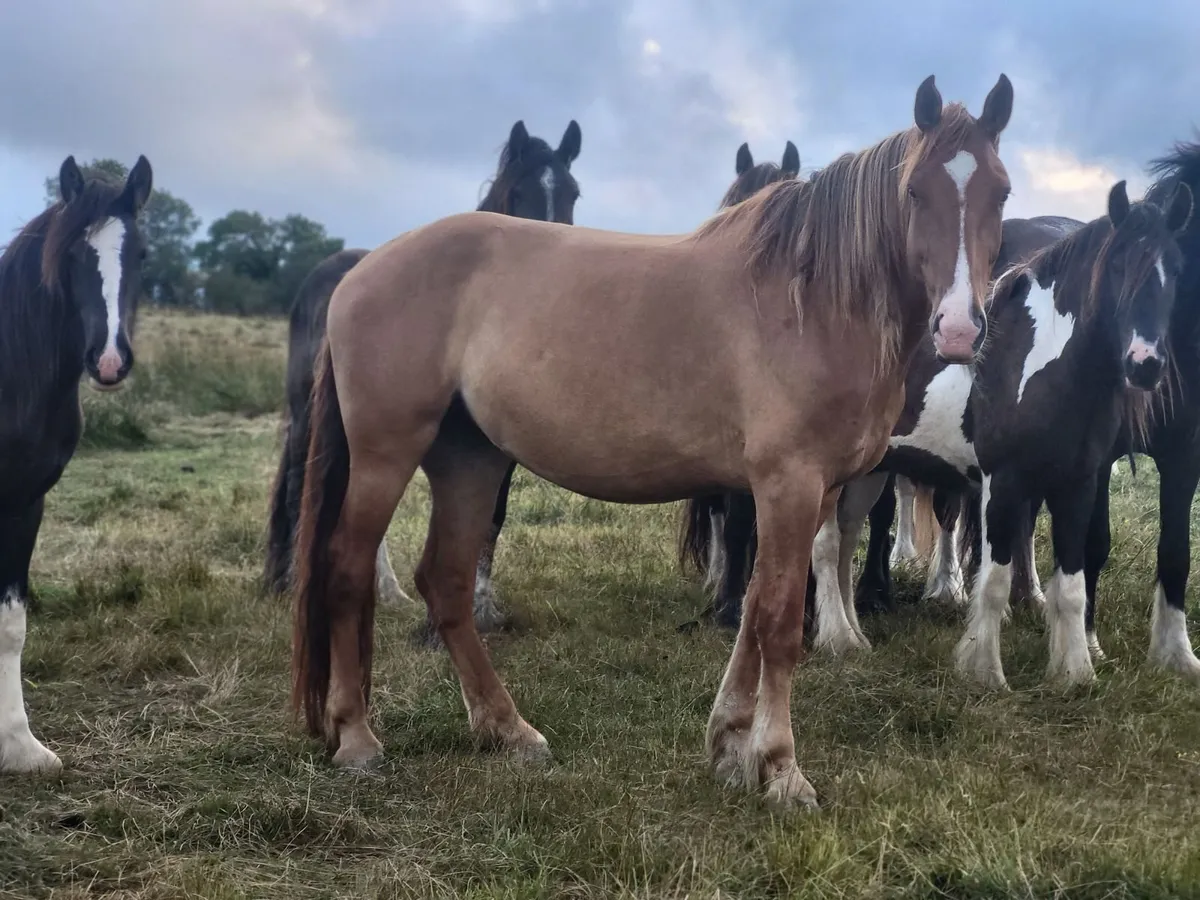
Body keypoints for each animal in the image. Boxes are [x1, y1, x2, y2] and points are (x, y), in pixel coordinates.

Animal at [263, 119, 583, 647]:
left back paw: (388, 593)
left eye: (573, 192)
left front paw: (481, 608)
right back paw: (285, 581)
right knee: (296, 484)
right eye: (518, 191)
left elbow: (491, 517)